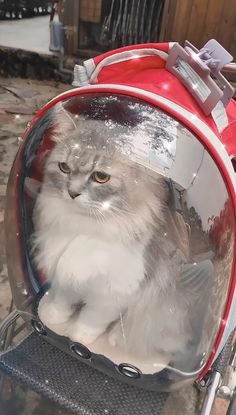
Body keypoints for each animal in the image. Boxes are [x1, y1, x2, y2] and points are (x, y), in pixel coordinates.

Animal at [31, 101, 194, 360]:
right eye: (64, 168)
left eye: (100, 176)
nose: (72, 193)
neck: (85, 225)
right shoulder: (66, 269)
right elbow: (63, 299)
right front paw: (53, 316)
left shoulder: (113, 291)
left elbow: (91, 319)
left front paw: (79, 338)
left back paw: (118, 337)